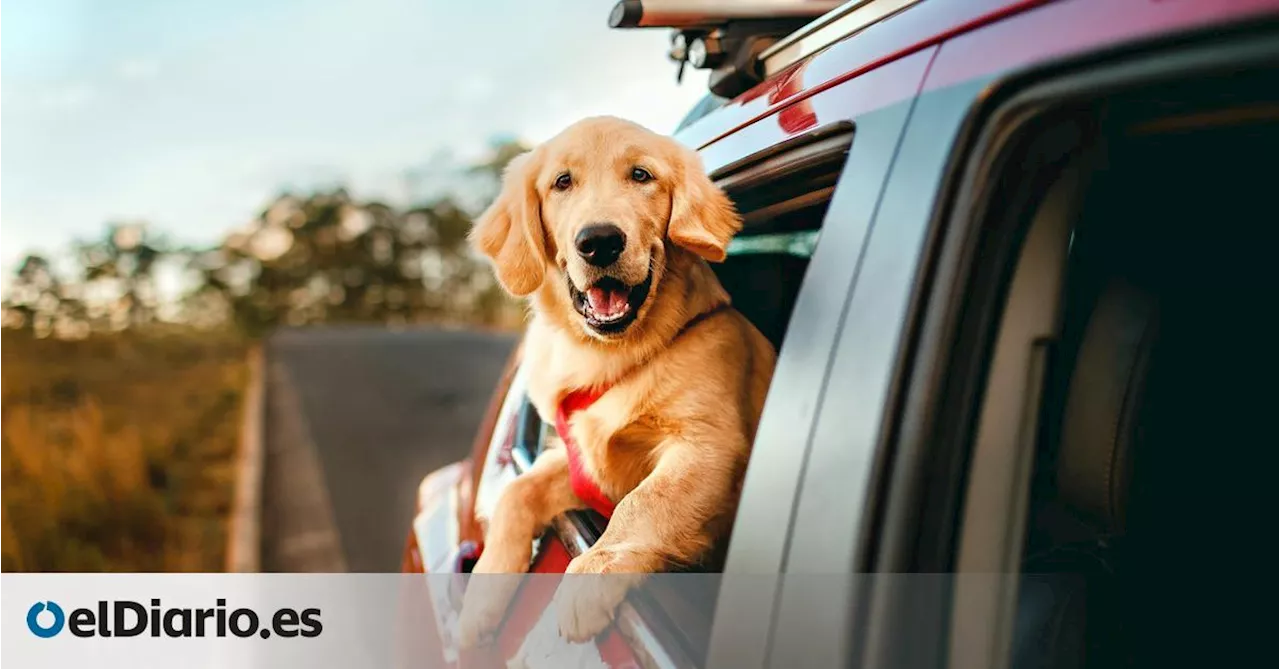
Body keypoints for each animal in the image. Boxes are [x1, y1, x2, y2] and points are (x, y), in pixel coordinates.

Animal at [460, 117, 778, 647]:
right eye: (562, 182)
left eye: (641, 175)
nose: (600, 241)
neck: (617, 355)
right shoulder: (579, 459)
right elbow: (516, 492)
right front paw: (480, 597)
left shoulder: (710, 446)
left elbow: (644, 502)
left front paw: (592, 573)